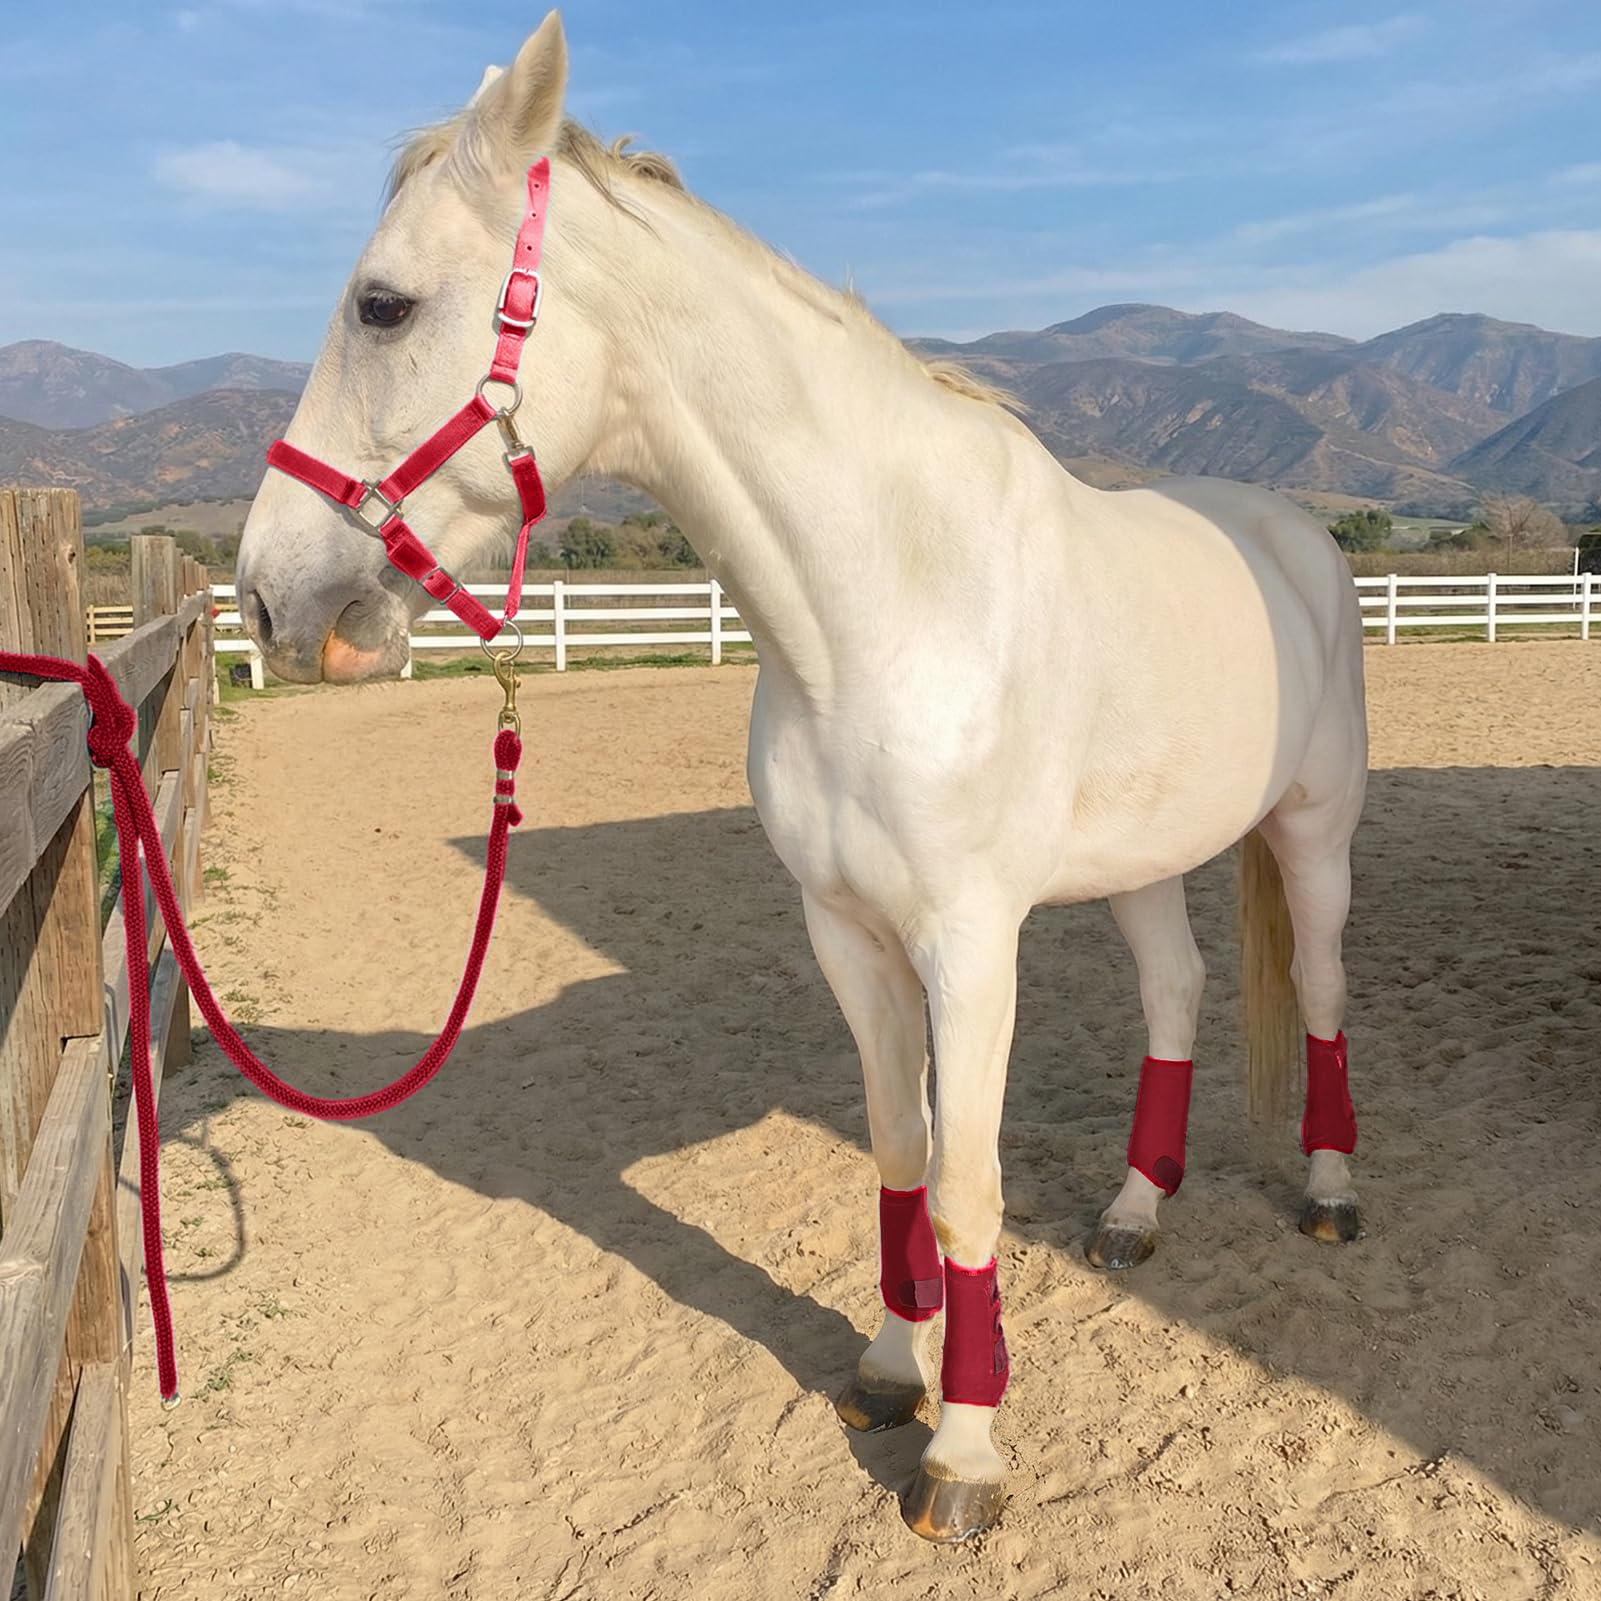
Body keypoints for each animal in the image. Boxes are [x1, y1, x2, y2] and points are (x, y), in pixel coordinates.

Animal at [235, 12, 1368, 1543]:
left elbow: (962, 1186)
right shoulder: (847, 931)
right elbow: (895, 1150)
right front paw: (889, 1376)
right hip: (1141, 856)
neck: (882, 610)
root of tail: (1291, 534)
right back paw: (1133, 1213)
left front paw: (964, 1457)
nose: (271, 599)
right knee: (1177, 993)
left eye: (383, 305)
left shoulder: (969, 945)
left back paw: (1328, 1192)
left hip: (1313, 834)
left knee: (1320, 990)